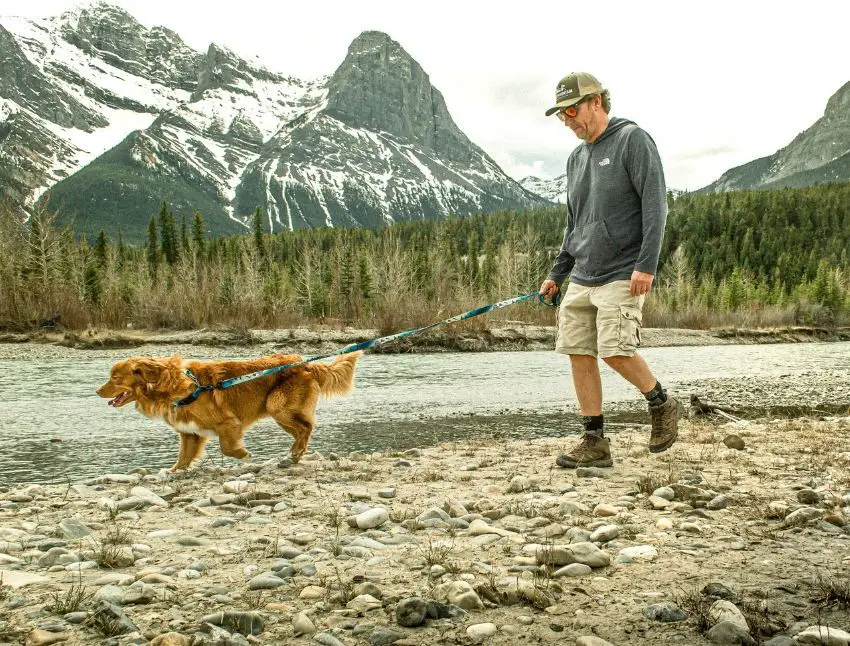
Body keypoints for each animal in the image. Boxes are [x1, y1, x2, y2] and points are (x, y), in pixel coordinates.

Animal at [97, 352, 362, 474]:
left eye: (115, 379)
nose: (97, 390)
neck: (173, 385)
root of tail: (305, 364)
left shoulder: (228, 423)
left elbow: (226, 447)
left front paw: (244, 455)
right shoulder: (189, 433)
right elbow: (183, 456)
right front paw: (172, 472)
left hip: (276, 405)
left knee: (306, 427)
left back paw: (294, 454)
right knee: (303, 429)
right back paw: (294, 455)